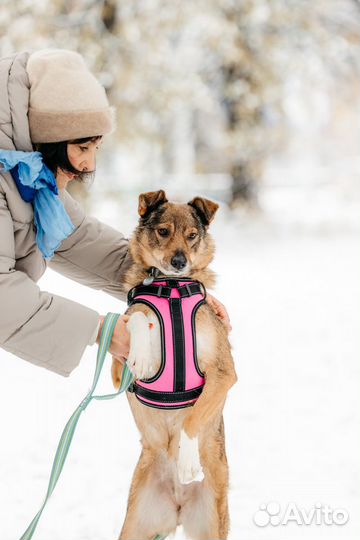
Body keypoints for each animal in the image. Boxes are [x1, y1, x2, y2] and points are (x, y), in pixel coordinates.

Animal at [111, 190, 238, 540]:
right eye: (163, 231)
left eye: (192, 236)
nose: (179, 262)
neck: (170, 288)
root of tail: (178, 506)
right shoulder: (118, 364)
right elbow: (138, 316)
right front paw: (143, 355)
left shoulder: (224, 372)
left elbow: (192, 419)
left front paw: (188, 461)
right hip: (135, 525)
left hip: (213, 525)